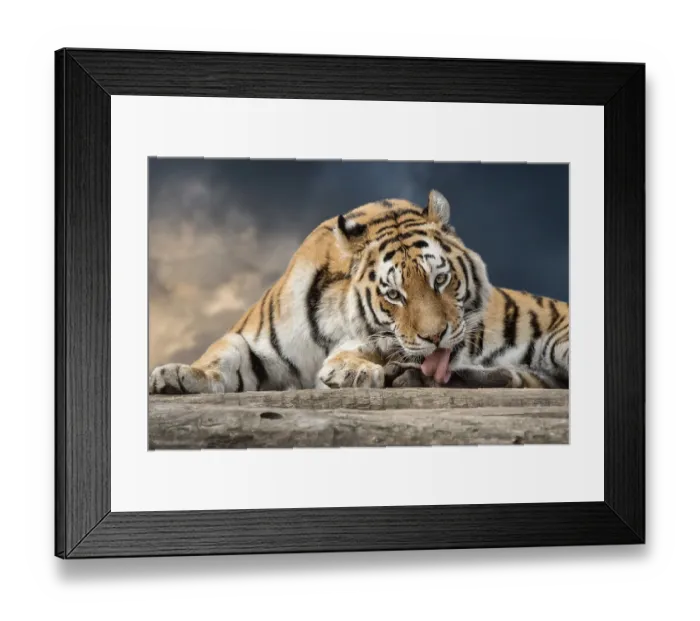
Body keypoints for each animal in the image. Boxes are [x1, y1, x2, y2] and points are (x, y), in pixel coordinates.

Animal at [148, 189, 569, 395]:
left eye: (440, 280)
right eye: (394, 295)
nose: (435, 337)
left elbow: (363, 350)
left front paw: (350, 371)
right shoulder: (255, 343)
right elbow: (222, 356)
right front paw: (178, 374)